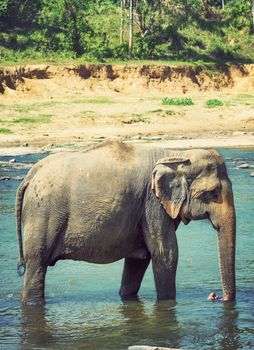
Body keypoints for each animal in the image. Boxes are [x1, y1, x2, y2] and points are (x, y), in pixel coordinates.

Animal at [16, 139, 236, 304]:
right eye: (212, 193)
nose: (216, 296)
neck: (176, 154)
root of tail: (30, 174)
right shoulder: (152, 203)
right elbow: (166, 252)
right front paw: (168, 303)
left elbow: (140, 257)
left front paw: (127, 298)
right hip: (42, 213)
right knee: (37, 262)